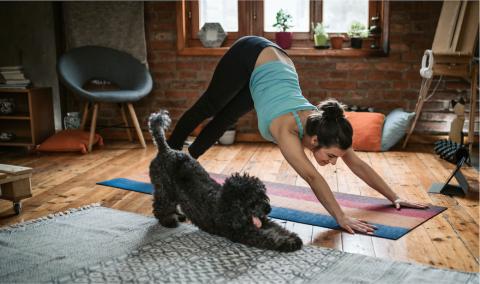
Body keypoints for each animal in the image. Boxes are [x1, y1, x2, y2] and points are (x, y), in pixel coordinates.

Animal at [148, 110, 302, 252]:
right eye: (252, 200)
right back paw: (168, 220)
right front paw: (287, 243)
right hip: (164, 189)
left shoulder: (262, 220)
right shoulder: (243, 232)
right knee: (160, 206)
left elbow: (277, 227)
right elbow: (268, 237)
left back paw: (178, 215)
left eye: (263, 195)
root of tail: (165, 150)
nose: (268, 209)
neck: (227, 205)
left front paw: (292, 237)